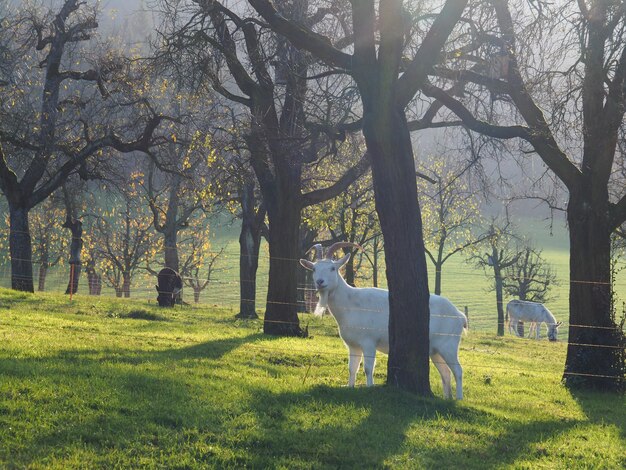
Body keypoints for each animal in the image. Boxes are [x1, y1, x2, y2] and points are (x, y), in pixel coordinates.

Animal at [300, 242, 466, 400]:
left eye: (332, 268)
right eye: (314, 269)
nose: (320, 282)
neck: (351, 304)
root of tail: (460, 315)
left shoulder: (368, 342)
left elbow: (368, 368)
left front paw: (369, 387)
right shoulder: (353, 345)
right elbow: (352, 368)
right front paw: (350, 386)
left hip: (449, 345)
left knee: (458, 370)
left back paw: (458, 398)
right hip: (435, 351)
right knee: (445, 372)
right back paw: (447, 397)